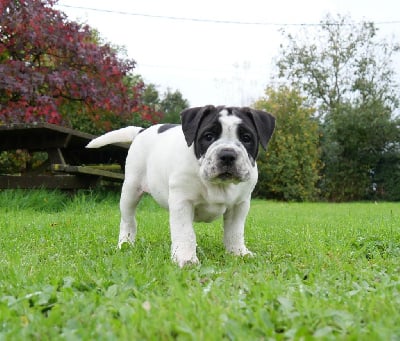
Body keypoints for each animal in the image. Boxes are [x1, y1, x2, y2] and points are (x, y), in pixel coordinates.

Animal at [87, 104, 276, 266]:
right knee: (128, 220)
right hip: (131, 190)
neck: (218, 184)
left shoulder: (240, 206)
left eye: (246, 138)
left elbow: (235, 232)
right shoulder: (182, 203)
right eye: (208, 136)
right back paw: (125, 243)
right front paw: (186, 258)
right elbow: (185, 233)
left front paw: (238, 253)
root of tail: (142, 130)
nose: (227, 155)